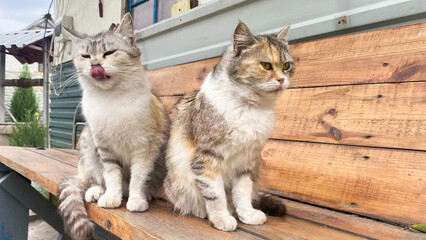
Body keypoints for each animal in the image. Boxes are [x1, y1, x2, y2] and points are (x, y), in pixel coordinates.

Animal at [57, 13, 170, 240]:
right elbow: (111, 176)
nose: (95, 65)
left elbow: (137, 178)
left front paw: (136, 200)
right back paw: (96, 192)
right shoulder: (105, 149)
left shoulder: (144, 150)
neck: (111, 98)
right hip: (88, 146)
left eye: (109, 53)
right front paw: (111, 197)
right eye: (85, 56)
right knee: (94, 180)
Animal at [164, 21, 292, 232]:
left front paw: (247, 215)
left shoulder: (247, 160)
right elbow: (215, 194)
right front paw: (221, 218)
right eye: (266, 65)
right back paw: (202, 211)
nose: (282, 80)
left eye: (287, 65)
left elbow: (243, 192)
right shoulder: (207, 158)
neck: (250, 106)